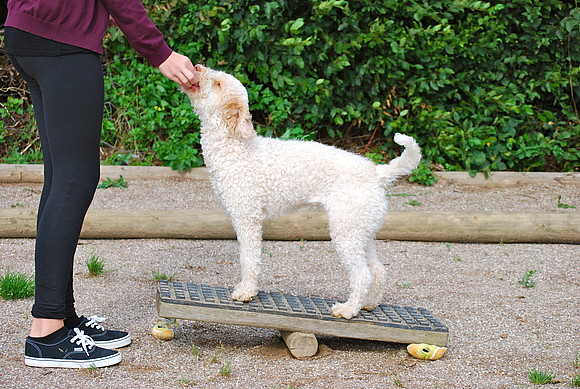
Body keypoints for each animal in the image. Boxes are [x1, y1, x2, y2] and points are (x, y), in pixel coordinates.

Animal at [185, 64, 422, 318]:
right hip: (361, 231)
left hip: (346, 232)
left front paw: (246, 292)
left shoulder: (247, 219)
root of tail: (376, 173)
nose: (197, 66)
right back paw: (368, 304)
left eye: (218, 84)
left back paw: (348, 309)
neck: (234, 146)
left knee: (363, 274)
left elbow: (249, 259)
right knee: (377, 270)